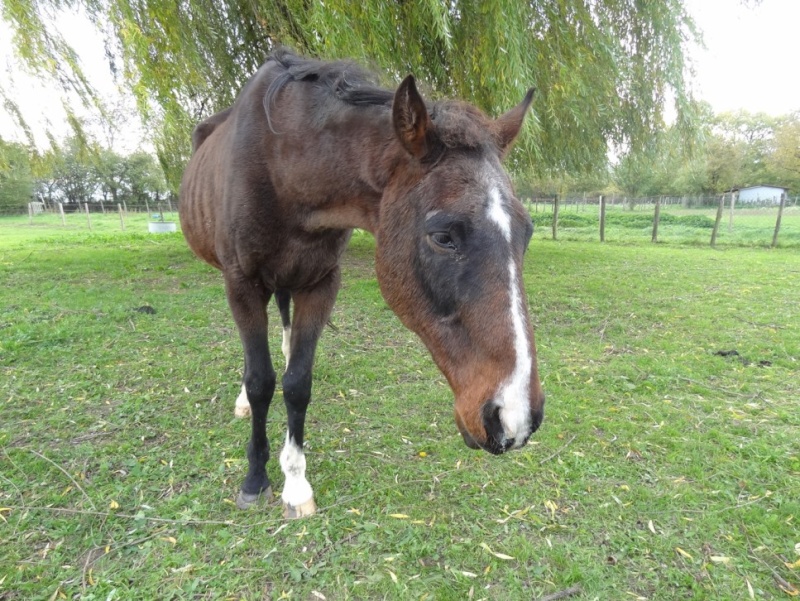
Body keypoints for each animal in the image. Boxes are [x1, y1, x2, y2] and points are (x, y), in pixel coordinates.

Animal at [179, 48, 548, 516]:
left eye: (527, 231)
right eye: (443, 236)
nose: (516, 418)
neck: (282, 164)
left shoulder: (321, 283)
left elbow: (297, 384)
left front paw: (295, 482)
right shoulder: (242, 283)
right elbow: (261, 381)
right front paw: (256, 477)